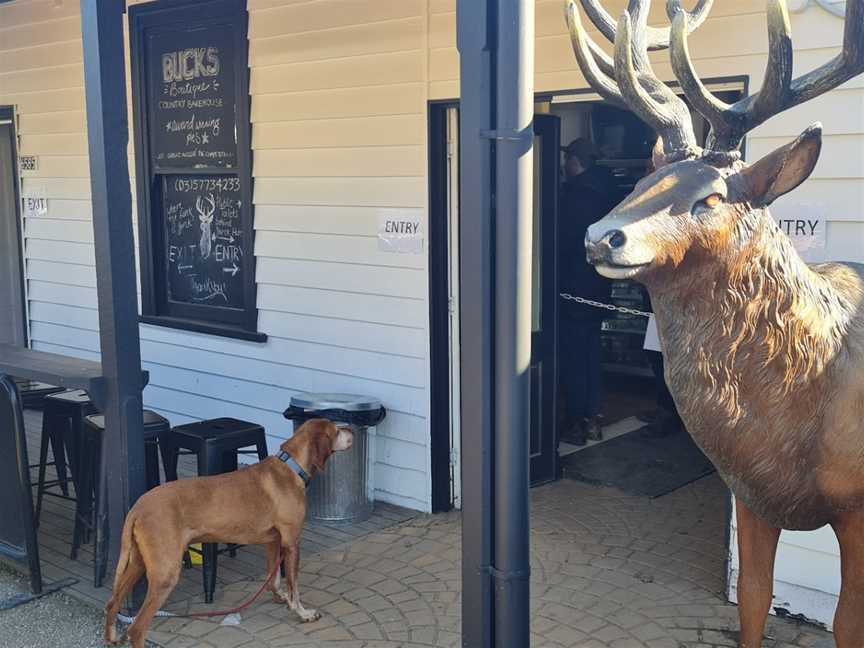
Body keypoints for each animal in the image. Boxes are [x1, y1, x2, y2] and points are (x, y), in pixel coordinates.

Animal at [103, 418, 352, 644]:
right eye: (336, 429)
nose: (351, 431)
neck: (292, 466)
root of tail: (138, 506)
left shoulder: (273, 542)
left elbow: (273, 579)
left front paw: (280, 598)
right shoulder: (291, 543)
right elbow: (294, 585)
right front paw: (302, 612)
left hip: (139, 563)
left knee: (112, 603)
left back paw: (111, 636)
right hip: (165, 573)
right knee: (137, 628)